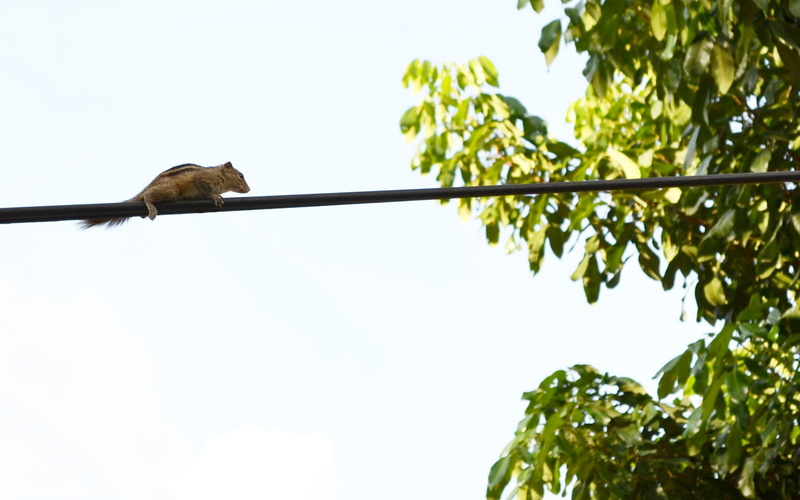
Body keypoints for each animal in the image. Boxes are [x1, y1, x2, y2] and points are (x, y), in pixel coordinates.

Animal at [81, 162, 251, 229]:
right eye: (241, 175)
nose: (249, 189)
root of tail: (149, 185)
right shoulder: (202, 179)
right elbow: (205, 189)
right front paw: (215, 197)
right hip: (170, 190)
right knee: (147, 196)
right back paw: (151, 208)